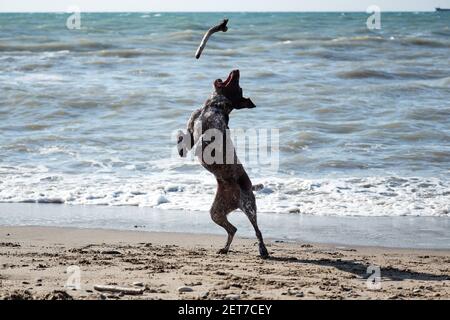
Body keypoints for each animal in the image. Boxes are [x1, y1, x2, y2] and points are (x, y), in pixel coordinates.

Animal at [176, 69, 268, 258]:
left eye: (238, 87)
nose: (236, 70)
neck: (213, 106)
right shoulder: (192, 126)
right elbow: (184, 136)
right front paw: (180, 147)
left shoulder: (211, 133)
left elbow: (203, 141)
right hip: (216, 212)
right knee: (232, 229)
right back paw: (225, 249)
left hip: (249, 207)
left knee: (257, 231)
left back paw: (263, 250)